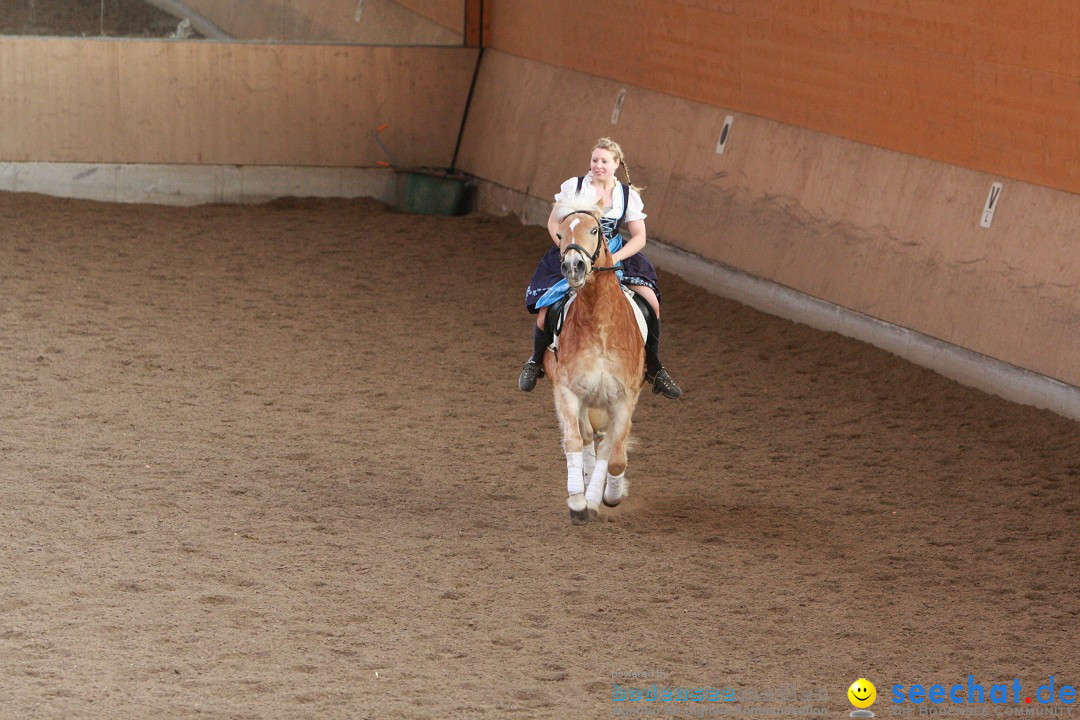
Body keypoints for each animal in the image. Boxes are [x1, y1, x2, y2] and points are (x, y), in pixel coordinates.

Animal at [544, 197, 643, 524]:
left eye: (594, 229)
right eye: (560, 234)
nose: (573, 266)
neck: (599, 327)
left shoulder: (624, 398)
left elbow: (615, 457)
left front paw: (609, 496)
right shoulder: (567, 390)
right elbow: (574, 441)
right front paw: (577, 501)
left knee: (606, 447)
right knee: (587, 438)